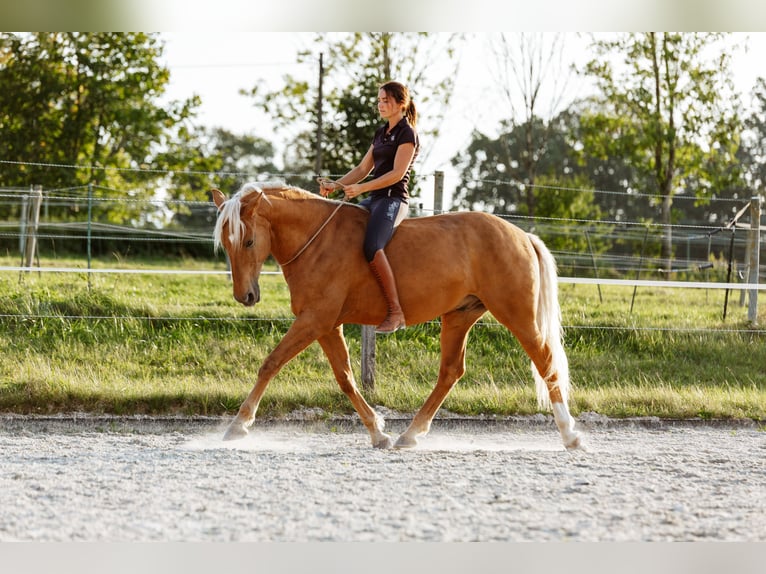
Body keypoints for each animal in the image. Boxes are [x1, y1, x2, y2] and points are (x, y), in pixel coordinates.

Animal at [211, 182, 582, 450]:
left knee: (546, 362)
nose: (245, 296)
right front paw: (378, 432)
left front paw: (238, 425)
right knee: (450, 372)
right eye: (226, 245)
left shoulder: (315, 320)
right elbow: (345, 378)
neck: (316, 241)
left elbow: (271, 363)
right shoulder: (326, 325)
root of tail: (521, 236)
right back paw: (411, 434)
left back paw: (570, 434)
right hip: (459, 316)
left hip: (517, 315)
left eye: (248, 242)